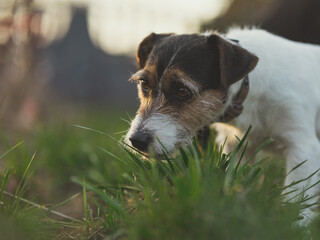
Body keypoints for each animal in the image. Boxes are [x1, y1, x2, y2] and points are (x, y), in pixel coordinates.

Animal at [125, 27, 320, 221]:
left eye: (182, 91)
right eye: (144, 84)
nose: (137, 140)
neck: (248, 90)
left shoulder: (302, 147)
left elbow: (296, 194)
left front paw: (295, 222)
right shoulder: (237, 146)